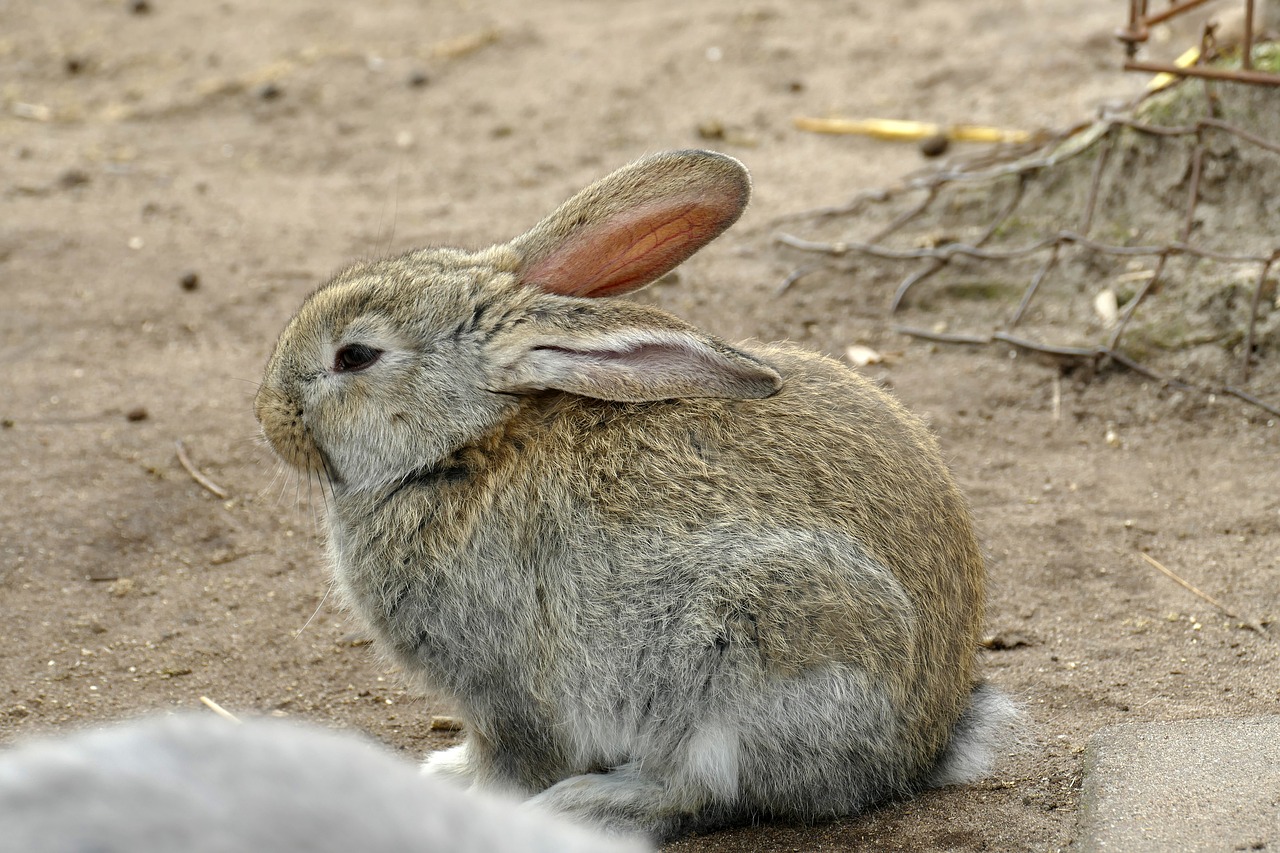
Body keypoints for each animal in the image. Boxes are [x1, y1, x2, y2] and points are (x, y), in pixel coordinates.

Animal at [254, 147, 1013, 835]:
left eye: (355, 355)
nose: (267, 415)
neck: (458, 446)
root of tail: (924, 747)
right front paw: (445, 771)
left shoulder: (506, 689)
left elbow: (511, 763)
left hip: (751, 649)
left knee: (705, 793)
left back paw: (587, 804)